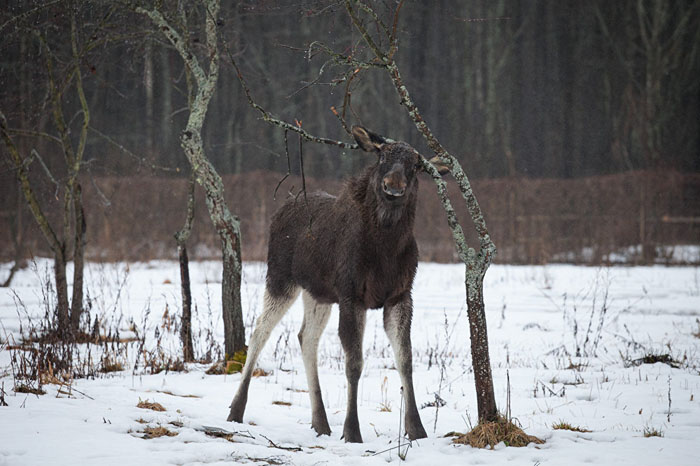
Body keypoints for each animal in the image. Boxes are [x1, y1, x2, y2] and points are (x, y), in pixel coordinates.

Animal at [227, 125, 448, 443]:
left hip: (317, 293)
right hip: (280, 278)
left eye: (416, 164)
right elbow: (354, 363)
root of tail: (286, 204)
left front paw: (416, 430)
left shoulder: (400, 295)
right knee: (259, 332)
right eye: (382, 155)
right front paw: (352, 430)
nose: (393, 185)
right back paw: (236, 410)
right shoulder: (351, 294)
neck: (387, 247)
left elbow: (405, 359)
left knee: (306, 337)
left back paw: (320, 422)